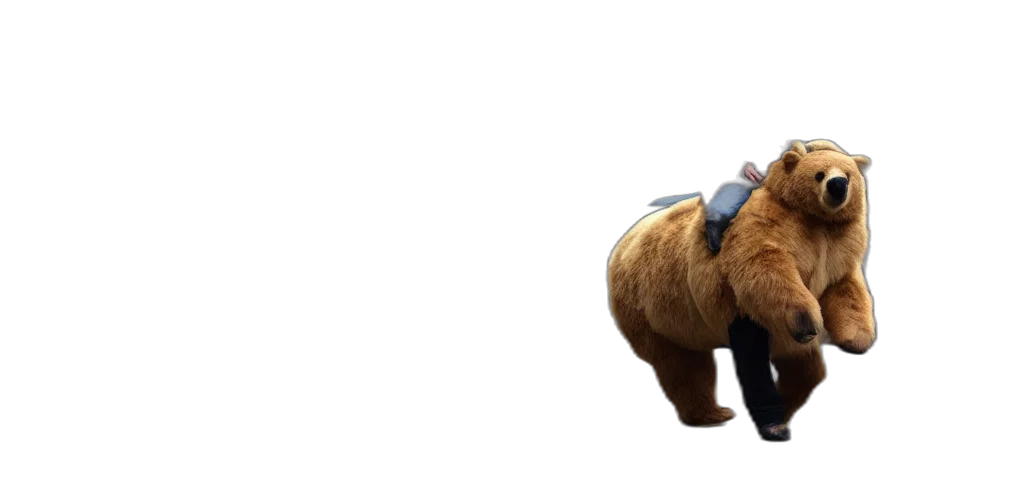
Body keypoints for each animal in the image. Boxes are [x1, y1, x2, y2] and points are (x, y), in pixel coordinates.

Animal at [606, 140, 874, 427]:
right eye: (819, 174)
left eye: (847, 175)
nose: (838, 186)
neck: (816, 222)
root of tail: (622, 244)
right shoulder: (767, 230)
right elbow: (768, 268)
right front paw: (807, 320)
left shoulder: (837, 252)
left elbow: (845, 289)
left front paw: (855, 338)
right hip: (651, 308)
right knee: (683, 363)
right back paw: (721, 415)